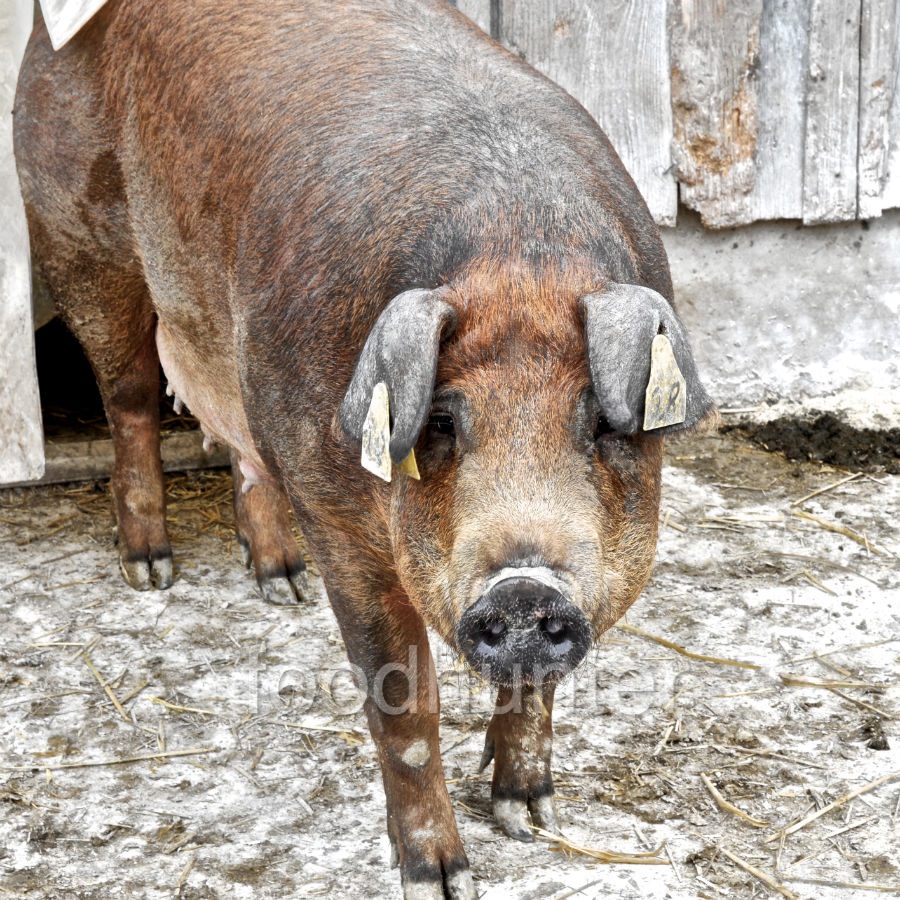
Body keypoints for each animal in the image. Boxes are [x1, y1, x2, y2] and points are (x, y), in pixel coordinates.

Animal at [14, 0, 712, 892]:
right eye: (442, 420)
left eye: (599, 424)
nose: (525, 587)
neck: (519, 253)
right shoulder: (338, 517)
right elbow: (403, 705)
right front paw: (443, 880)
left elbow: (536, 690)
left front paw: (529, 819)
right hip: (77, 240)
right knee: (130, 397)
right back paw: (150, 570)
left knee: (240, 441)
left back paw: (281, 583)